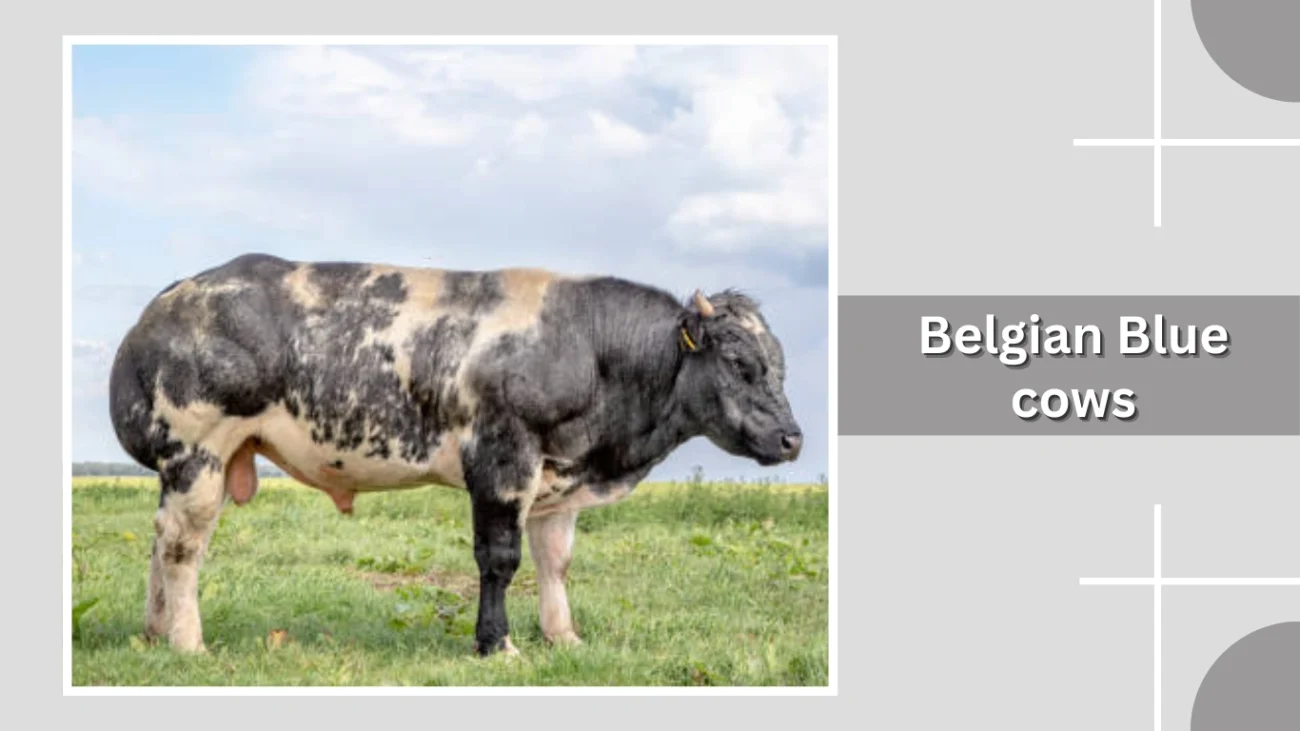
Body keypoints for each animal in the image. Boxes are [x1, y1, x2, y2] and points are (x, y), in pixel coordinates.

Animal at [108, 253, 803, 657]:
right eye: (739, 362)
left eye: (779, 364)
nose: (793, 438)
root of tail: (176, 292)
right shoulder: (502, 457)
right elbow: (500, 559)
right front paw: (497, 645)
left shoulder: (560, 476)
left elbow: (555, 562)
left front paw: (564, 637)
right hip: (197, 452)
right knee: (183, 546)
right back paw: (188, 643)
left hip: (196, 465)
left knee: (161, 537)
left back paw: (154, 631)